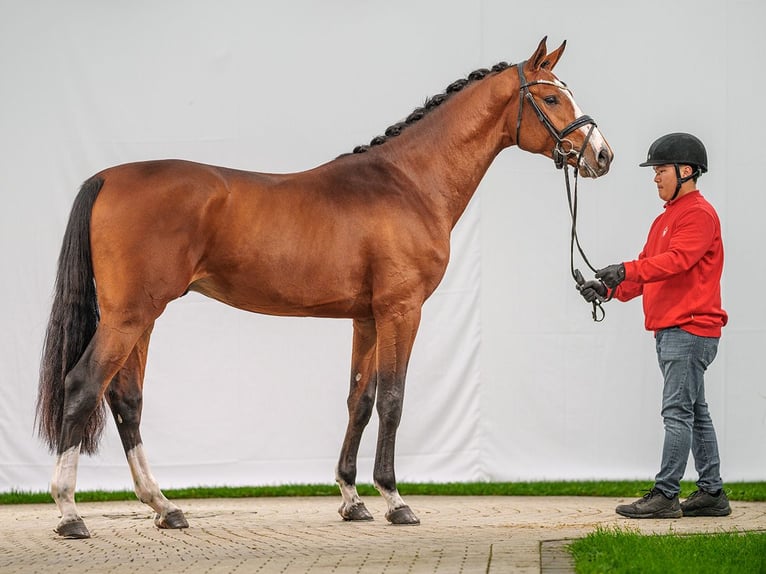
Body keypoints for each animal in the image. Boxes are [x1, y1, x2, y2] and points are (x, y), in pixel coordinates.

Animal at [36, 38, 616, 544]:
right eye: (550, 97)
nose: (603, 155)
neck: (408, 182)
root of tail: (108, 178)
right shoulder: (402, 311)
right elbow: (394, 400)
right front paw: (395, 501)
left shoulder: (367, 317)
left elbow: (360, 399)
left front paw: (352, 500)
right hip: (129, 316)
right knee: (82, 385)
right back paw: (69, 513)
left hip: (142, 317)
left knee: (126, 399)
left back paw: (164, 507)